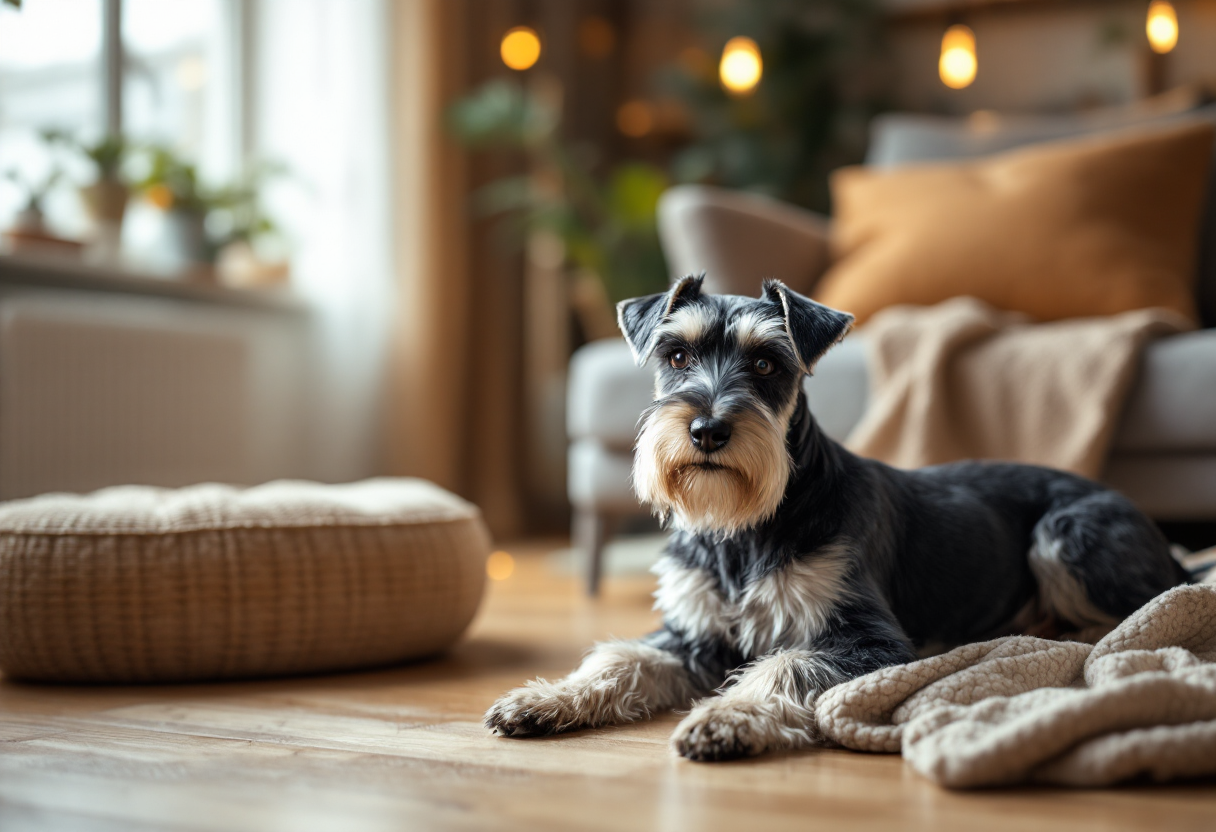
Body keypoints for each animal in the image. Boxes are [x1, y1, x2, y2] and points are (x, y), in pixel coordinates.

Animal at [483, 277, 1186, 759]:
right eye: (676, 355)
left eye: (767, 362)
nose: (707, 431)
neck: (743, 529)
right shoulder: (692, 633)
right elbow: (620, 658)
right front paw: (543, 699)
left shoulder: (867, 640)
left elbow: (786, 664)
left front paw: (725, 718)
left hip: (1065, 535)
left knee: (1131, 618)